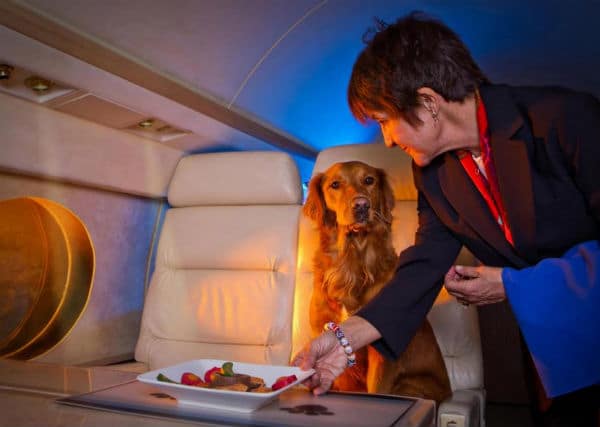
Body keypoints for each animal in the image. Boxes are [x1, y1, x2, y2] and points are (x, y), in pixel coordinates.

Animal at [304, 161, 450, 404]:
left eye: (369, 180)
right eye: (335, 184)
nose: (362, 205)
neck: (351, 263)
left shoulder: (382, 355)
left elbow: (378, 389)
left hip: (410, 386)